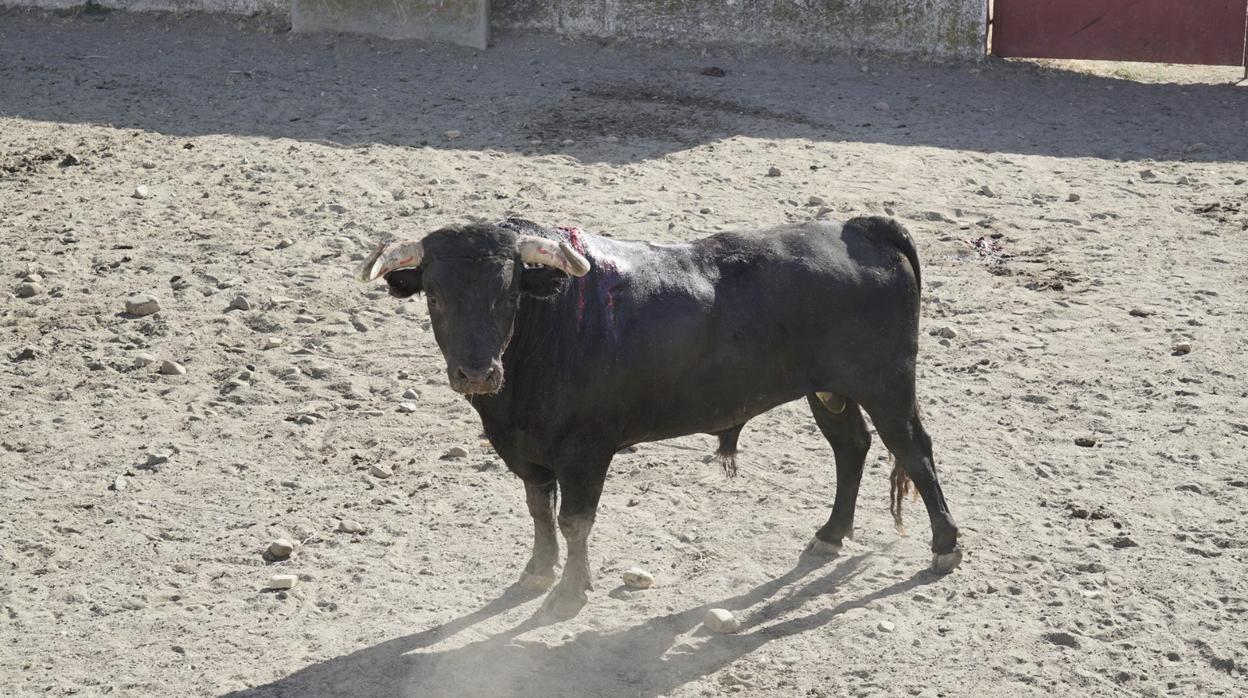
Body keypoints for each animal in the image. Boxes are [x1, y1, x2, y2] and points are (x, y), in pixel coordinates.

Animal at [356, 216, 958, 619]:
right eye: (435, 297)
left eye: (509, 295)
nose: (477, 373)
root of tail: (861, 228)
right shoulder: (527, 451)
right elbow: (539, 511)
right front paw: (536, 572)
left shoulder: (584, 452)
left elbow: (575, 520)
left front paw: (570, 590)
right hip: (829, 389)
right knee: (850, 446)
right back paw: (831, 535)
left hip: (885, 385)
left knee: (913, 449)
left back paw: (945, 546)